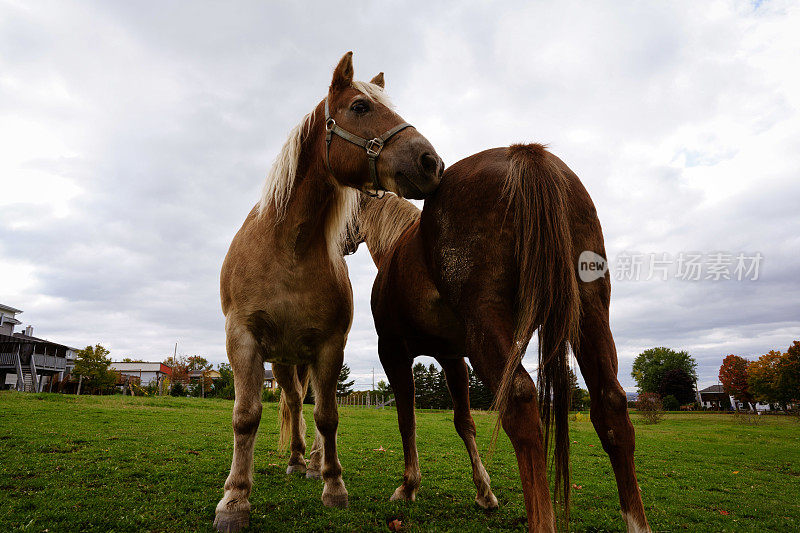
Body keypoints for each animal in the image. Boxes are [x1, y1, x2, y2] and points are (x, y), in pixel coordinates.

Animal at [214, 51, 444, 532]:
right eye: (359, 106)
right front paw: (235, 499)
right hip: (284, 363)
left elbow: (328, 416)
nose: (431, 162)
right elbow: (246, 417)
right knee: (293, 403)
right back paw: (297, 461)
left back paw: (315, 463)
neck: (289, 247)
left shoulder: (329, 347)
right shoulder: (242, 338)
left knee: (312, 408)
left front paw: (333, 486)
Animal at [350, 144, 648, 532]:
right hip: (590, 314)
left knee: (521, 404)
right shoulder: (453, 358)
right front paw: (484, 493)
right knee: (611, 405)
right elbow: (464, 422)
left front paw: (409, 486)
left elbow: (407, 420)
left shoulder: (393, 352)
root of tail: (524, 154)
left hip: (487, 325)